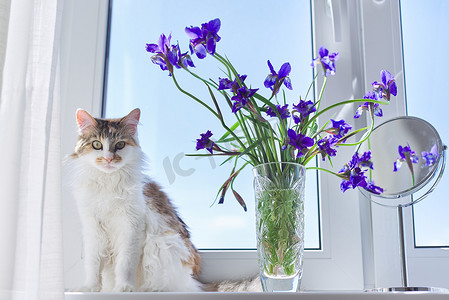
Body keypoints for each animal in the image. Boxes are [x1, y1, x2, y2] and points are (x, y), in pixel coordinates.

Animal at [68, 108, 260, 292]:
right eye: (97, 145)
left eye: (120, 145)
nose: (108, 159)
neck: (108, 182)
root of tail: (195, 283)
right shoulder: (93, 227)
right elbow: (93, 264)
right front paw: (89, 288)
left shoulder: (131, 227)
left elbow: (125, 263)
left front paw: (124, 288)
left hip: (163, 244)